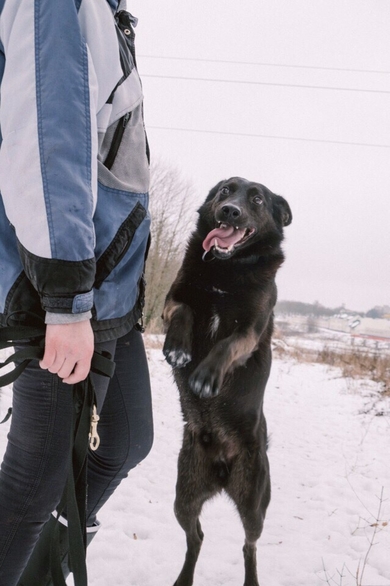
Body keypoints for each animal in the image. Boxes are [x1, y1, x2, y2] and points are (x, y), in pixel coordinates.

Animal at [162, 177, 292, 584]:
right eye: (225, 190)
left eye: (257, 199)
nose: (230, 212)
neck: (227, 269)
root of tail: (220, 472)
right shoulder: (173, 299)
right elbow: (185, 312)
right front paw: (179, 349)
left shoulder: (251, 329)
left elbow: (227, 343)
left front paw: (205, 376)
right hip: (183, 498)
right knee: (197, 537)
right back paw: (184, 578)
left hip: (253, 505)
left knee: (249, 545)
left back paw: (251, 577)